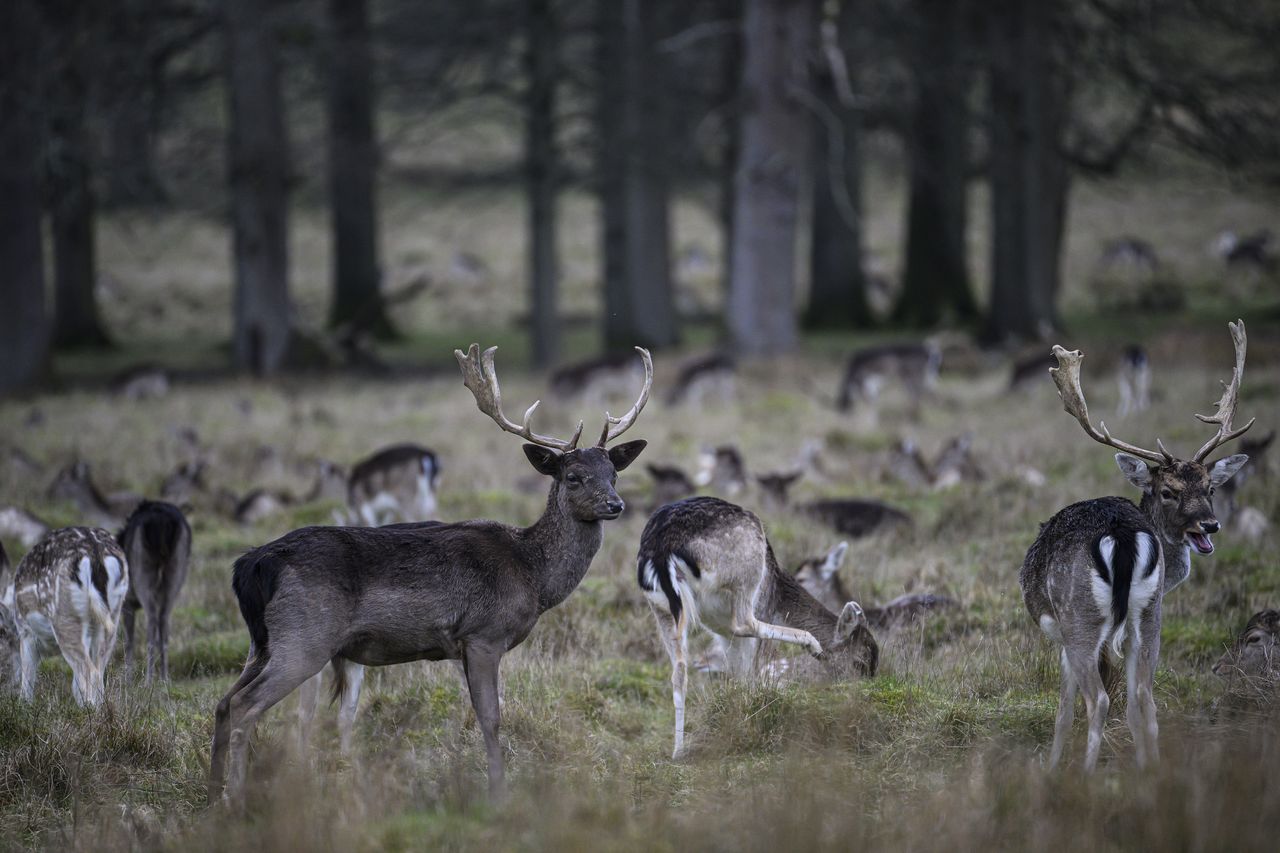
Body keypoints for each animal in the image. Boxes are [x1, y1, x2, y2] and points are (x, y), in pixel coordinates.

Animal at [2, 527, 129, 705]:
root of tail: (95, 554)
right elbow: (74, 686)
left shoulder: (26, 632)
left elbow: (26, 680)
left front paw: (23, 706)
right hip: (111, 617)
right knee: (98, 670)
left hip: (65, 618)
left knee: (89, 671)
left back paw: (87, 710)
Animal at [117, 501, 192, 683]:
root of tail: (162, 522)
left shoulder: (127, 602)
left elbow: (129, 640)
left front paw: (128, 679)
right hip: (177, 570)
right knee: (164, 623)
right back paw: (165, 678)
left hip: (143, 571)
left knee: (151, 622)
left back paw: (148, 680)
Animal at [207, 344, 651, 805]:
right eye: (574, 476)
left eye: (614, 473)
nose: (616, 505)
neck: (533, 575)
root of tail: (252, 565)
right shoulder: (483, 635)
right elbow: (491, 718)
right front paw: (498, 794)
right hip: (305, 636)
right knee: (244, 706)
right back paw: (235, 798)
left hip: (263, 640)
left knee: (223, 702)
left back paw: (211, 792)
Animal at [637, 496, 879, 759]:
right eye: (860, 662)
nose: (863, 692)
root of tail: (663, 548)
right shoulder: (759, 611)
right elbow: (751, 669)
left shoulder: (721, 631)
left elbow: (737, 673)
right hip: (747, 575)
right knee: (744, 622)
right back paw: (810, 640)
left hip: (660, 607)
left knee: (679, 670)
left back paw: (678, 751)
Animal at [1020, 319, 1254, 771]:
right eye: (1169, 491)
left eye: (1210, 487)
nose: (1211, 524)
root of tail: (1124, 534)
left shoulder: (1059, 633)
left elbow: (1062, 709)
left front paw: (1052, 766)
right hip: (1149, 614)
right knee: (1144, 696)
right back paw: (1152, 770)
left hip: (1080, 615)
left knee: (1099, 700)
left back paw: (1084, 776)